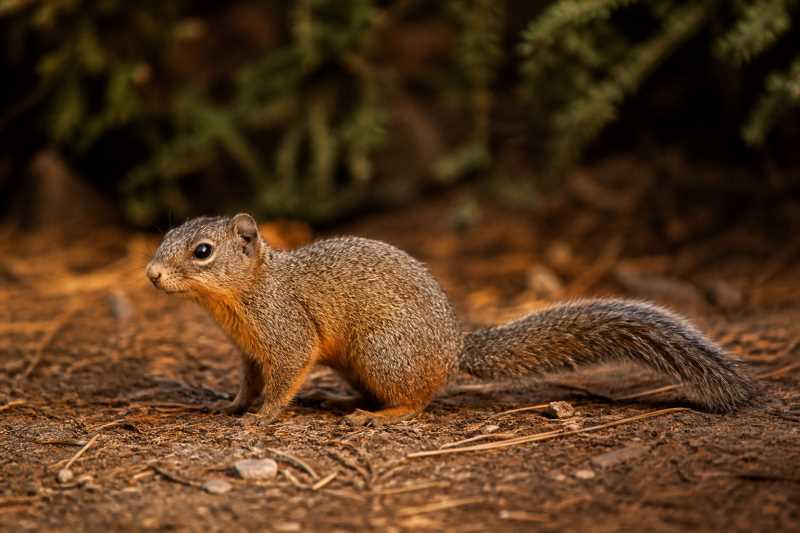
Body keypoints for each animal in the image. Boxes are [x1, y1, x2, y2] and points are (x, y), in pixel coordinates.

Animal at [145, 214, 756, 426]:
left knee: (419, 399)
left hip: (383, 351)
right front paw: (230, 405)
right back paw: (344, 401)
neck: (245, 293)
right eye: (166, 234)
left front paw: (263, 417)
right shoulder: (249, 352)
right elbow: (248, 382)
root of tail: (453, 350)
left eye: (201, 252)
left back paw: (379, 417)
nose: (150, 274)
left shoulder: (287, 334)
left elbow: (284, 378)